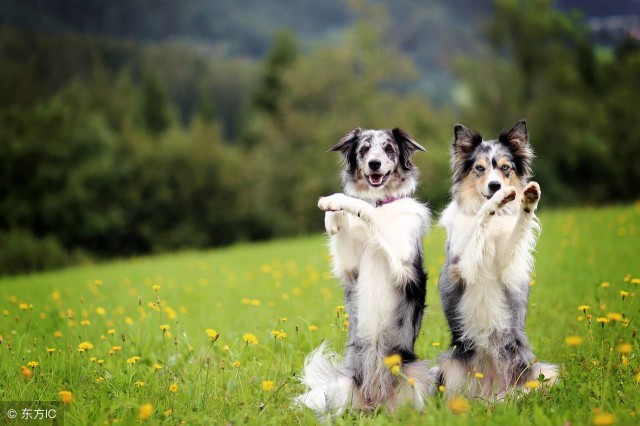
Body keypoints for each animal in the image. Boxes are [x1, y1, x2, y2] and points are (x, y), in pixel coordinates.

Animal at [296, 128, 436, 418]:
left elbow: (367, 210)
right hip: (343, 384)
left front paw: (336, 200)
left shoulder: (402, 262)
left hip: (416, 377)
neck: (383, 200)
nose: (374, 164)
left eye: (389, 149)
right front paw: (333, 218)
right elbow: (344, 235)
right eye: (364, 149)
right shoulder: (351, 266)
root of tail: (375, 401)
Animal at [438, 119, 556, 400]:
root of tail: (492, 390)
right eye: (479, 168)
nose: (495, 186)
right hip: (447, 367)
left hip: (535, 370)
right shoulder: (461, 265)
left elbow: (518, 228)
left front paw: (528, 199)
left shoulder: (505, 261)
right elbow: (480, 219)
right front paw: (493, 203)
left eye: (505, 168)